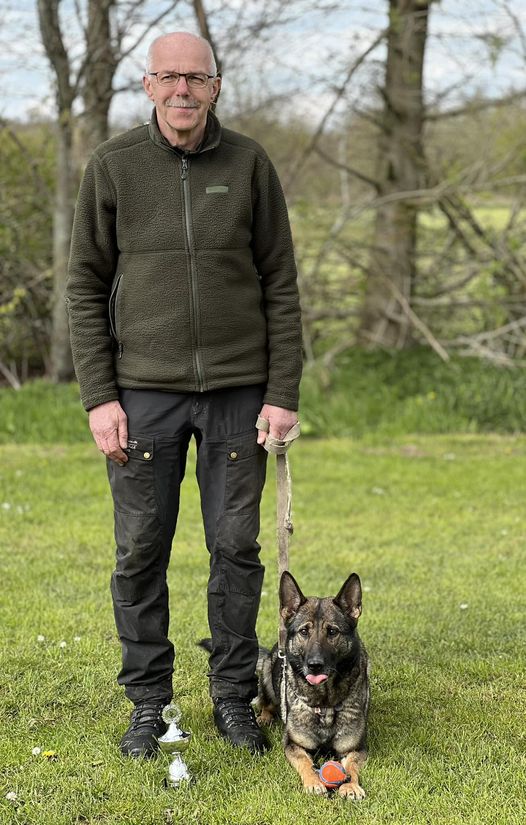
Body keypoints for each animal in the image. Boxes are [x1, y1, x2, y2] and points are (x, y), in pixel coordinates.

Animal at [258, 568, 370, 796]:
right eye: (304, 631)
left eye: (332, 631)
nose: (314, 665)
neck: (325, 703)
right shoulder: (293, 744)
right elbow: (305, 762)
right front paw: (313, 782)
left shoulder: (355, 748)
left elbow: (351, 766)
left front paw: (351, 785)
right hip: (265, 671)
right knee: (266, 702)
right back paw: (264, 716)